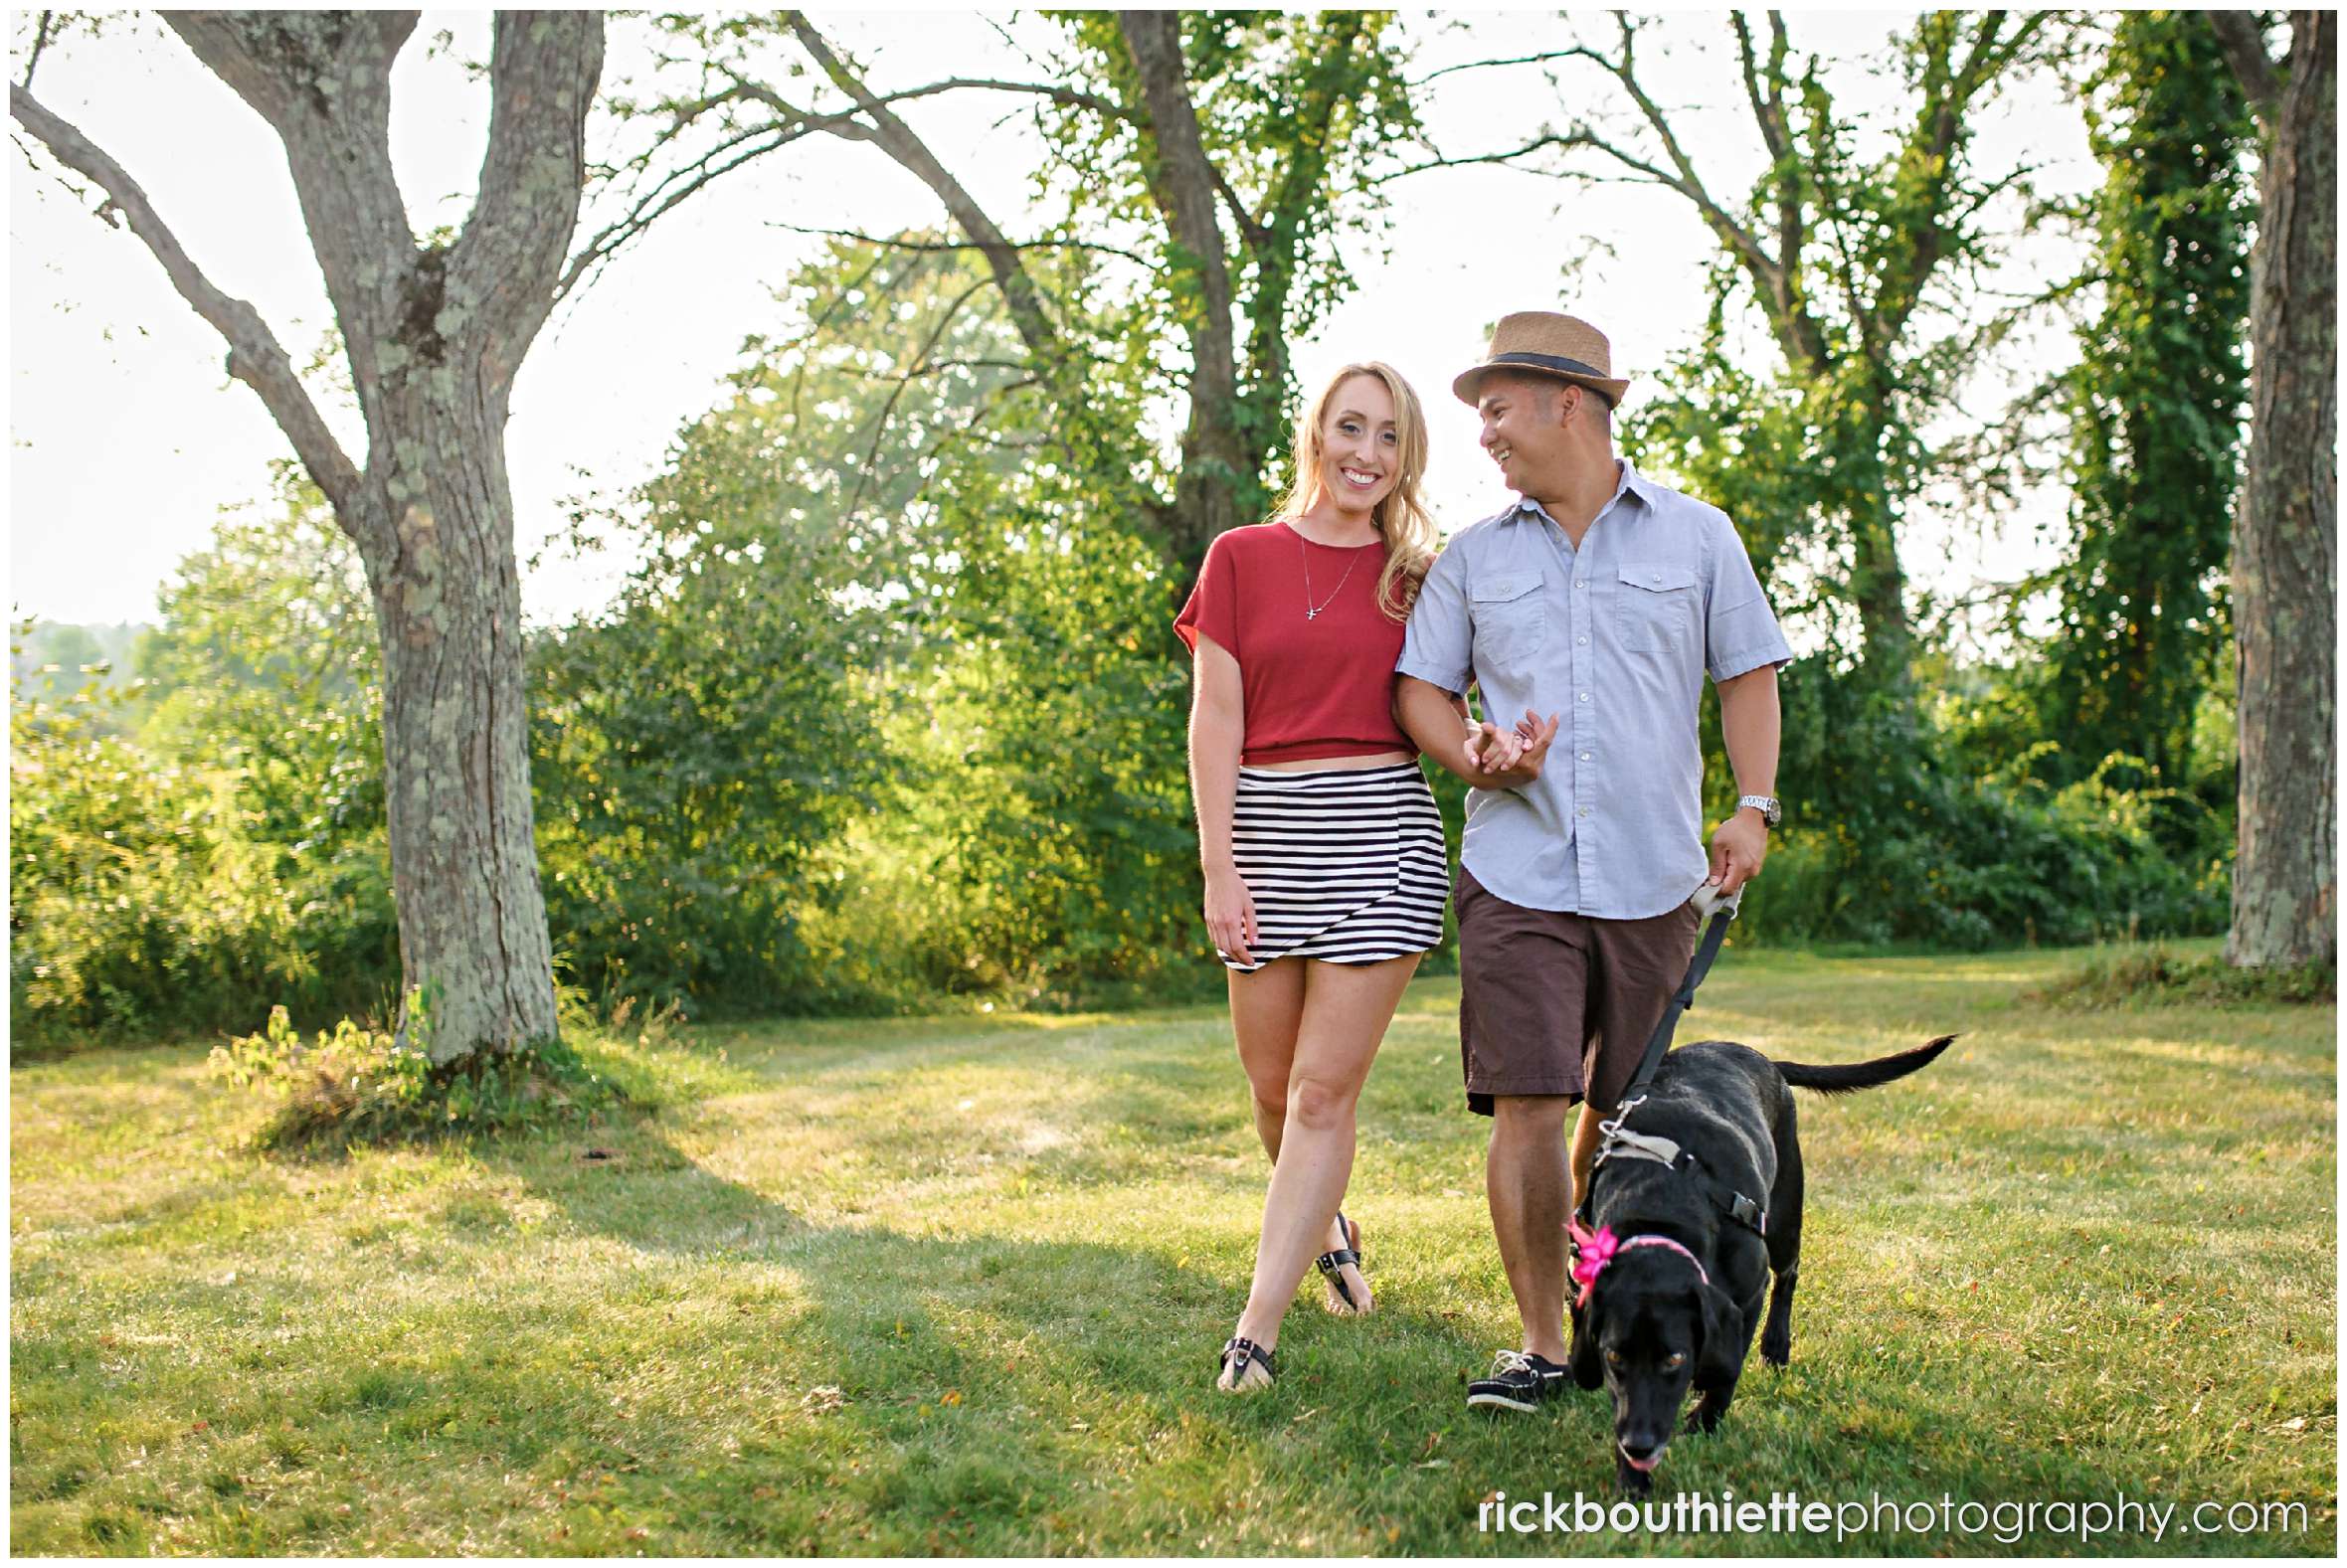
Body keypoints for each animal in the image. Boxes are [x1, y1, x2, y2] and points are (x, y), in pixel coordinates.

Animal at [1567, 1032, 1952, 1492]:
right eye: (1613, 1357)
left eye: (1675, 1358)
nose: (1639, 1445)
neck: (1662, 1205)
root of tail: (1760, 1057)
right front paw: (1631, 1477)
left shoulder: (1747, 1295)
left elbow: (1728, 1370)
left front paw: (1705, 1421)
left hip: (1784, 1214)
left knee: (1789, 1273)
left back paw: (1776, 1346)